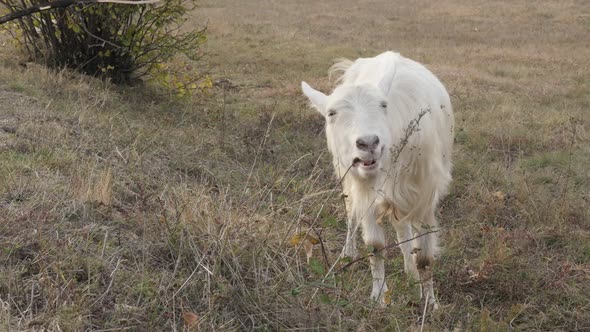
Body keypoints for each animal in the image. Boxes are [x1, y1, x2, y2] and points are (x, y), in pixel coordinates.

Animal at [302, 50, 456, 306]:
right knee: (351, 212)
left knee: (403, 228)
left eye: (383, 105)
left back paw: (410, 272)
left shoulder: (425, 194)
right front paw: (379, 297)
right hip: (345, 174)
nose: (368, 143)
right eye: (331, 113)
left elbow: (424, 257)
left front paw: (430, 302)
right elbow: (375, 246)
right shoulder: (366, 191)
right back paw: (349, 252)